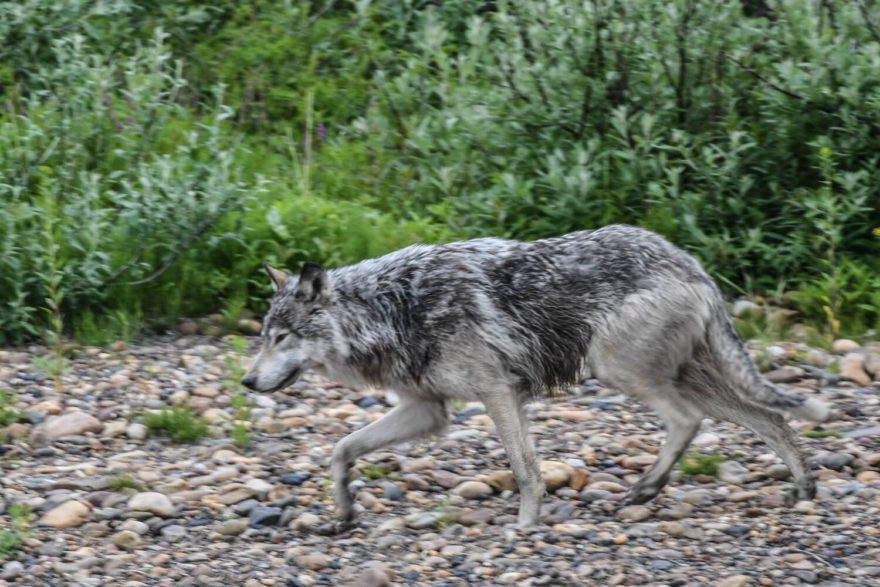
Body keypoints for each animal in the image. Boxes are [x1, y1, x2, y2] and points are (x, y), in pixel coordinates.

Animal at [239, 224, 824, 528]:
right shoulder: (426, 411)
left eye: (283, 337)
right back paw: (802, 489)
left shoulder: (498, 394)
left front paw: (523, 527)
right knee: (772, 419)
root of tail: (695, 266)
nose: (246, 383)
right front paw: (342, 510)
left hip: (622, 372)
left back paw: (644, 490)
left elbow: (524, 469)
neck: (393, 308)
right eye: (264, 335)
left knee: (688, 421)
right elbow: (341, 449)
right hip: (687, 379)